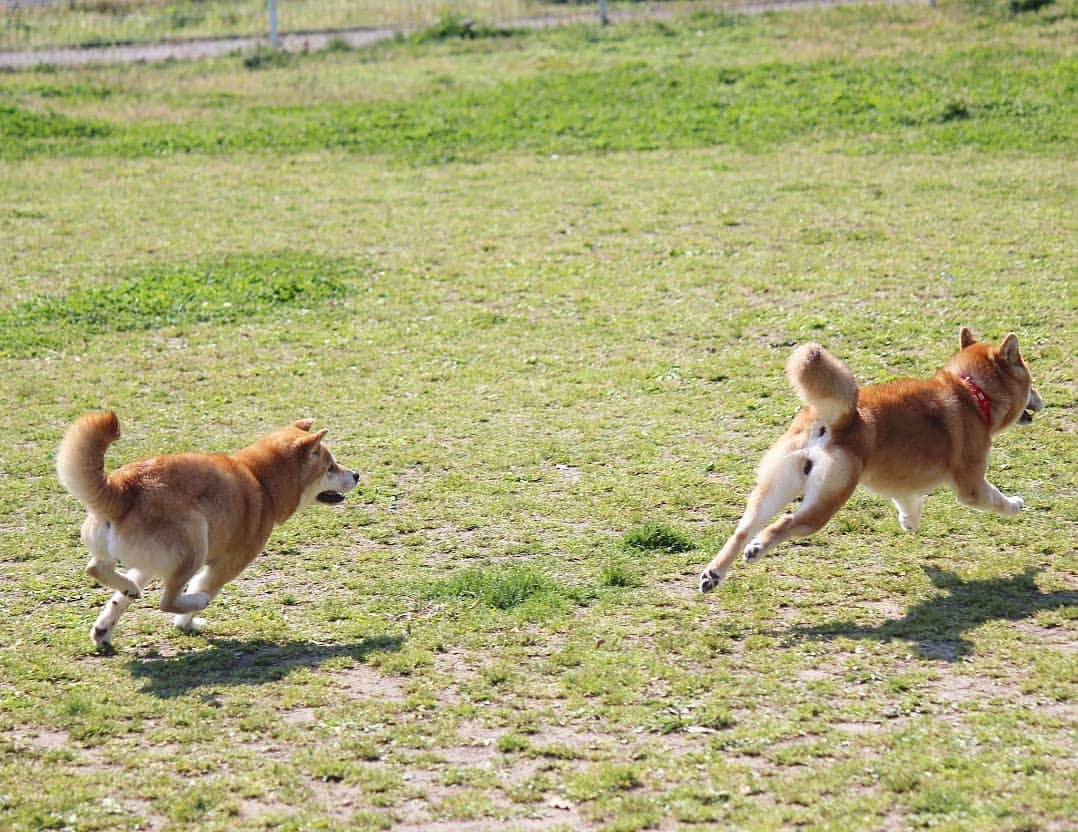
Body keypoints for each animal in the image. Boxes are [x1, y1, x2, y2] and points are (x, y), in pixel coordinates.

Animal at [56, 415, 360, 650]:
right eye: (331, 467)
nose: (356, 474)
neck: (261, 480)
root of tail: (123, 489)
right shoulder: (226, 566)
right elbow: (203, 589)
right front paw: (187, 620)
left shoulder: (147, 565)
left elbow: (118, 599)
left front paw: (108, 622)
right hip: (194, 542)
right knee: (168, 600)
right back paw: (193, 601)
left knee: (99, 570)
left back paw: (118, 605)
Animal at [698, 327, 1043, 594]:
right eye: (1031, 382)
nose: (1042, 401)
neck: (971, 391)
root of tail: (839, 418)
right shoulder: (971, 485)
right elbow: (995, 500)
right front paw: (1015, 506)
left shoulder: (903, 483)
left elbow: (910, 503)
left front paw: (909, 523)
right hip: (825, 502)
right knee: (783, 524)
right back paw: (757, 549)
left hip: (776, 486)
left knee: (743, 529)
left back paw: (714, 573)